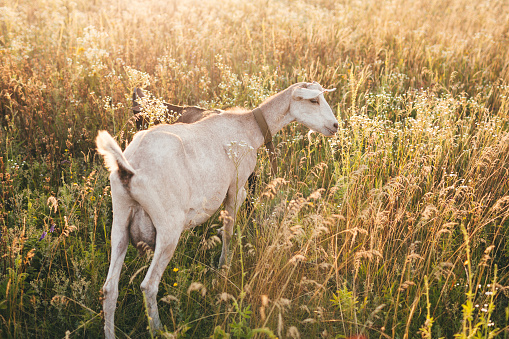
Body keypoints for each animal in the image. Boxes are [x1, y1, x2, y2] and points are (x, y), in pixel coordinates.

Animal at [97, 81, 340, 338]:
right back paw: (159, 329)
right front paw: (224, 268)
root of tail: (129, 168)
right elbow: (229, 231)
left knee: (109, 288)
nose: (335, 126)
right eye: (313, 100)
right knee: (148, 285)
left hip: (120, 219)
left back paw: (110, 332)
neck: (248, 127)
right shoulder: (236, 187)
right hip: (168, 226)